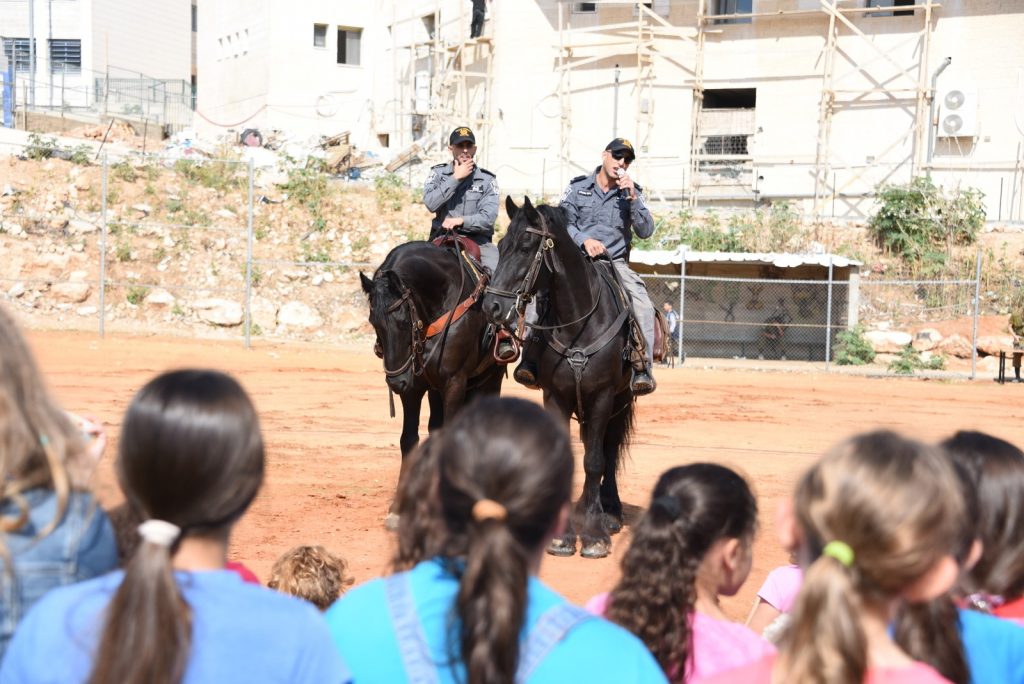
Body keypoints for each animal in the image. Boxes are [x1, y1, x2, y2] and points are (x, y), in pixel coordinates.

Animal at [360, 240, 503, 518]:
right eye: (374, 323)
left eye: (403, 321)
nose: (395, 382)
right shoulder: (414, 388)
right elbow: (409, 439)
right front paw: (399, 506)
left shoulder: (455, 382)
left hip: (491, 377)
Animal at [479, 194, 630, 557]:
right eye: (501, 245)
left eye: (525, 246)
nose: (491, 306)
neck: (580, 323)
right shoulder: (556, 396)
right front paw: (563, 535)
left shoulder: (603, 395)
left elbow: (595, 460)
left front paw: (593, 535)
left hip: (622, 399)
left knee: (609, 448)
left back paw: (610, 512)